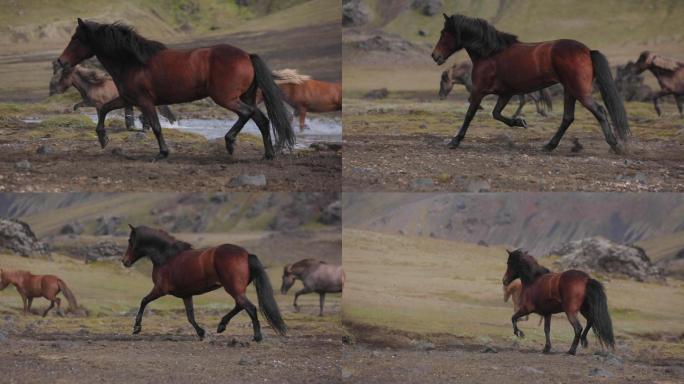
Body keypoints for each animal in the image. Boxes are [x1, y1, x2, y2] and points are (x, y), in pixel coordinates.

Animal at [49, 62, 178, 130]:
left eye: (65, 76)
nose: (56, 89)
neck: (92, 85)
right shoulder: (92, 103)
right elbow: (78, 105)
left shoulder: (97, 104)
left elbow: (93, 112)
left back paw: (145, 127)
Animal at [120, 225, 286, 342]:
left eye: (130, 241)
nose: (124, 261)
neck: (167, 257)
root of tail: (246, 254)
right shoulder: (186, 295)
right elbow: (190, 316)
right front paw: (201, 333)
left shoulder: (160, 289)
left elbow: (143, 301)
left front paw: (136, 328)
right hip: (237, 290)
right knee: (240, 305)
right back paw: (221, 326)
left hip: (233, 289)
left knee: (250, 308)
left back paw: (256, 337)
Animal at [432, 15, 632, 153]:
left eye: (444, 33)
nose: (435, 56)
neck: (490, 53)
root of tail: (587, 51)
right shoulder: (506, 93)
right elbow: (497, 114)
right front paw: (520, 122)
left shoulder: (478, 91)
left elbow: (469, 115)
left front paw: (455, 141)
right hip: (570, 91)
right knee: (568, 118)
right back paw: (549, 146)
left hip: (579, 92)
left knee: (599, 111)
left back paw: (615, 145)